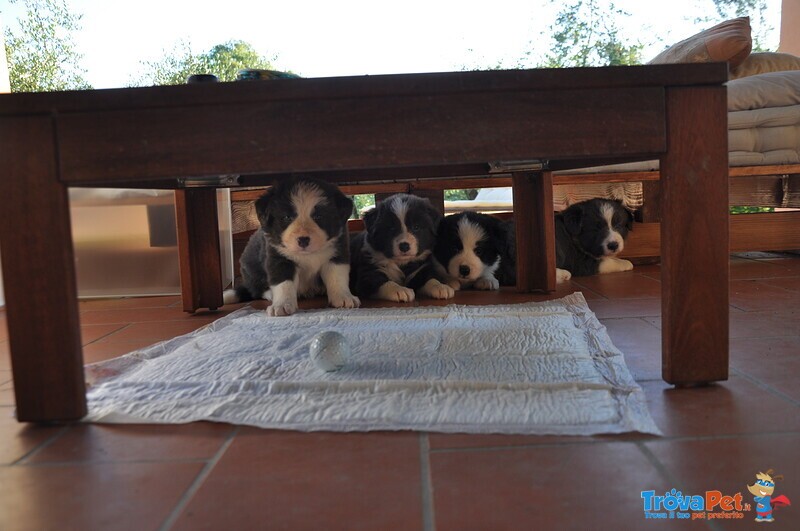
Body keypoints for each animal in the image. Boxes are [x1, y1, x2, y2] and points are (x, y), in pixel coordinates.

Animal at [225, 177, 362, 318]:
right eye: (287, 217)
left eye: (318, 216)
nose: (303, 240)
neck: (308, 254)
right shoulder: (278, 258)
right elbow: (283, 283)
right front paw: (281, 305)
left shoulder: (337, 254)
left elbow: (337, 277)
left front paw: (344, 297)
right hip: (251, 266)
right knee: (256, 289)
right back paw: (270, 294)